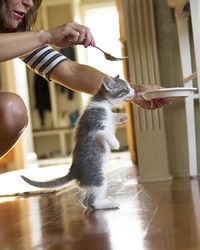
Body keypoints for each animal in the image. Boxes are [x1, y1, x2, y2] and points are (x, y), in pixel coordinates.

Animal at [21, 75, 134, 210]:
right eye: (126, 89)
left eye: (130, 87)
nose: (134, 91)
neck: (102, 103)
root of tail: (73, 171)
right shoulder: (95, 125)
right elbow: (106, 132)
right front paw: (115, 144)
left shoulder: (107, 117)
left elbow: (112, 116)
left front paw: (123, 116)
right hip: (98, 176)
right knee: (91, 202)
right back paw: (108, 204)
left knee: (86, 202)